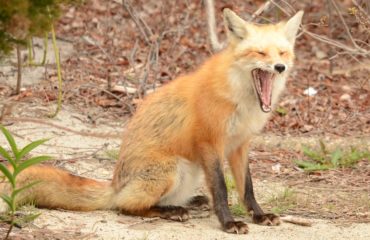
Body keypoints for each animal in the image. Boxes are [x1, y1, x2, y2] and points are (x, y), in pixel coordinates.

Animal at [0, 8, 304, 233]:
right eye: (260, 53)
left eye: (282, 53)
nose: (280, 67)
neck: (240, 97)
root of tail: (115, 184)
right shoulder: (211, 142)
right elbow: (220, 189)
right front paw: (229, 223)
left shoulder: (240, 145)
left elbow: (247, 188)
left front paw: (259, 216)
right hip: (173, 169)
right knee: (126, 206)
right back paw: (171, 211)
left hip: (189, 173)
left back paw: (190, 202)